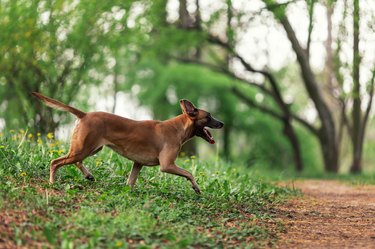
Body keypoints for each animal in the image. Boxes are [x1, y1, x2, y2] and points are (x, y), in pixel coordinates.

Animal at [32, 92, 223, 194]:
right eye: (209, 116)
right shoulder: (167, 165)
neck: (177, 128)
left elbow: (130, 182)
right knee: (55, 162)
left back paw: (88, 175)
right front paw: (196, 188)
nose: (222, 123)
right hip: (83, 149)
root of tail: (85, 114)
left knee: (76, 161)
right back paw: (52, 183)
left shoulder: (138, 164)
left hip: (90, 148)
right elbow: (189, 173)